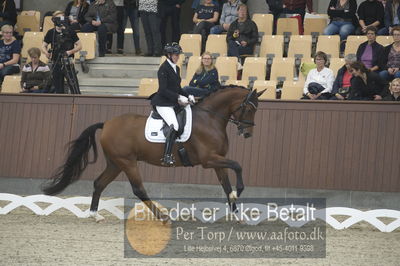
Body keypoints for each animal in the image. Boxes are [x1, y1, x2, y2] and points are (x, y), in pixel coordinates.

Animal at [42, 86, 264, 221]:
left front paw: (237, 214)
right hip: (128, 162)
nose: (247, 133)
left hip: (115, 163)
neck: (210, 119)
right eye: (249, 109)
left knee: (99, 183)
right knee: (138, 189)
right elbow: (237, 166)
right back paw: (162, 217)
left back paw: (95, 215)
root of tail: (106, 124)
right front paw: (239, 192)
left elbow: (226, 185)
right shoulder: (209, 160)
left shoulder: (218, 161)